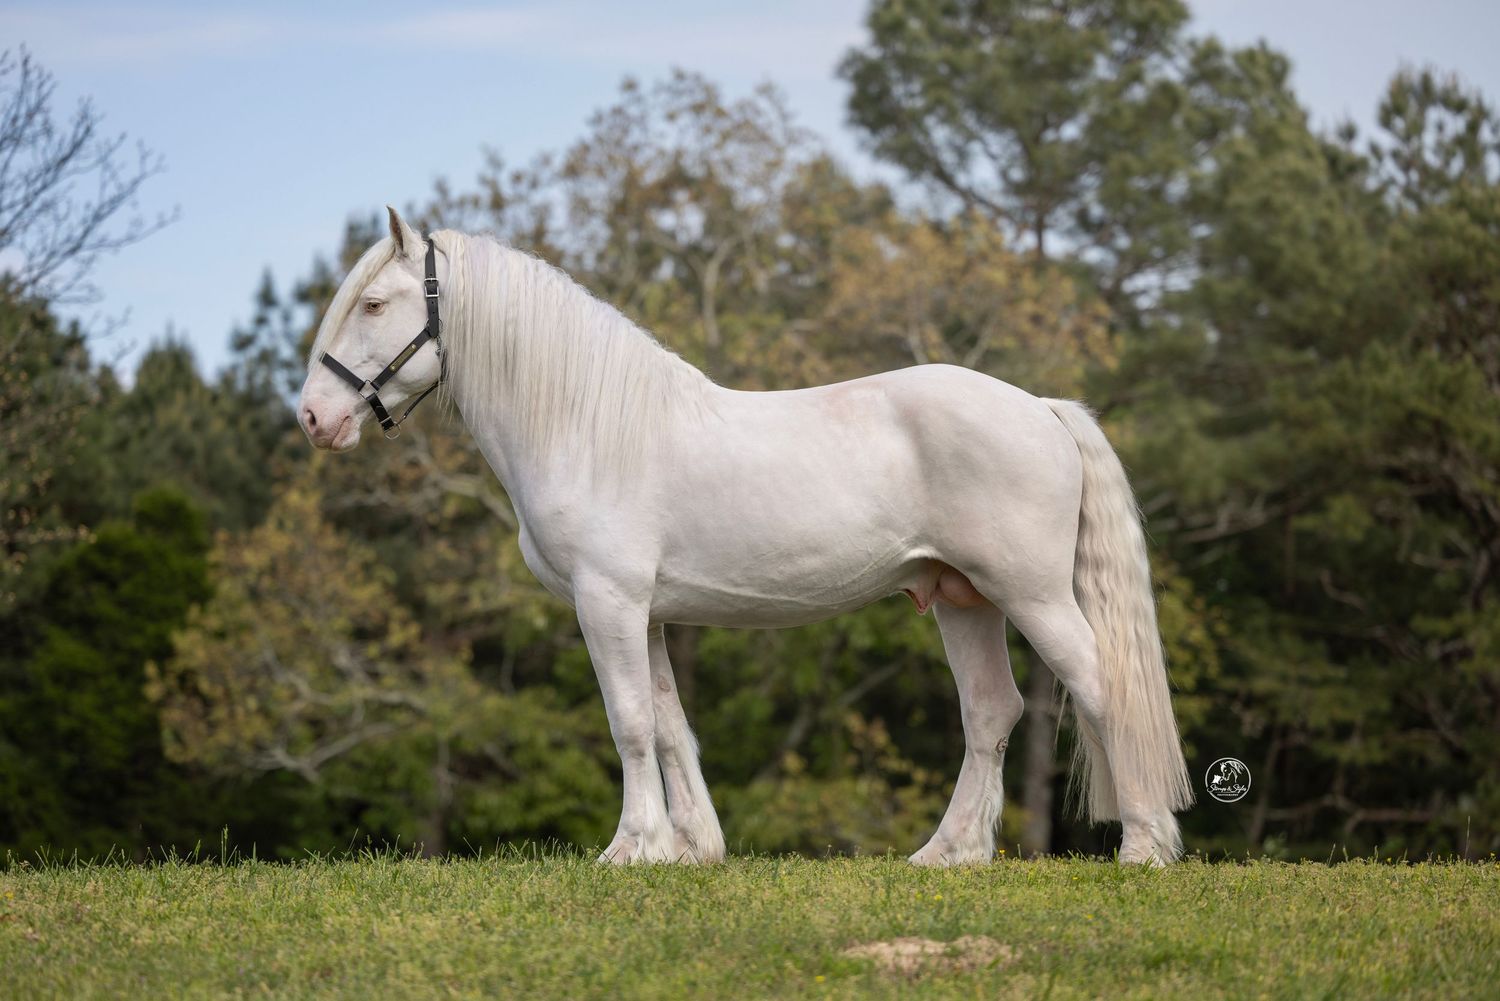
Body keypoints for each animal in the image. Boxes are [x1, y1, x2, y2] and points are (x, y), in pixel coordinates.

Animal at [296, 207, 1193, 866]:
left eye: (373, 304)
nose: (312, 417)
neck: (587, 424)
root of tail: (1042, 406)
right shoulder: (648, 613)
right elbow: (667, 721)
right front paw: (691, 847)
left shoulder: (607, 601)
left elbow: (628, 719)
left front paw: (631, 847)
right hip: (961, 597)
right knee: (990, 711)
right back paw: (949, 852)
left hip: (1031, 593)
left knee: (1101, 686)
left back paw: (1144, 846)